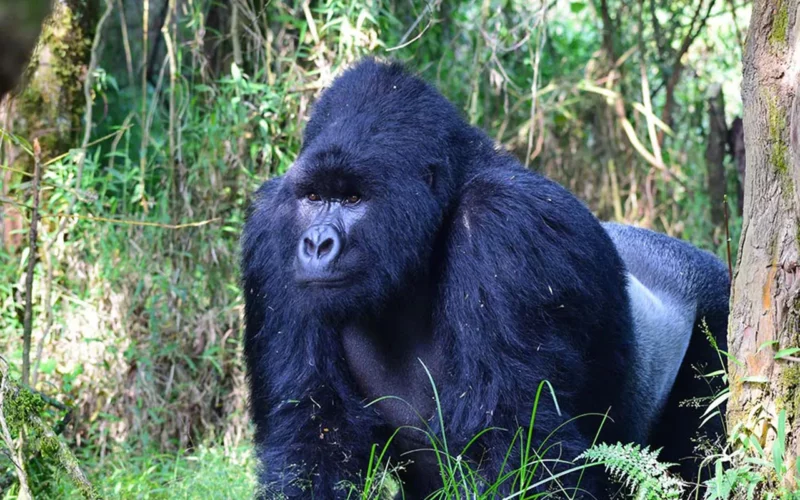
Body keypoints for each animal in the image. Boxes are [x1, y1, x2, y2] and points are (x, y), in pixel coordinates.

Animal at [241, 57, 728, 496]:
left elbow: (520, 446)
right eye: (314, 196)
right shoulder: (271, 237)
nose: (316, 244)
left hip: (719, 305)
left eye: (354, 199)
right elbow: (312, 439)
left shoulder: (505, 222)